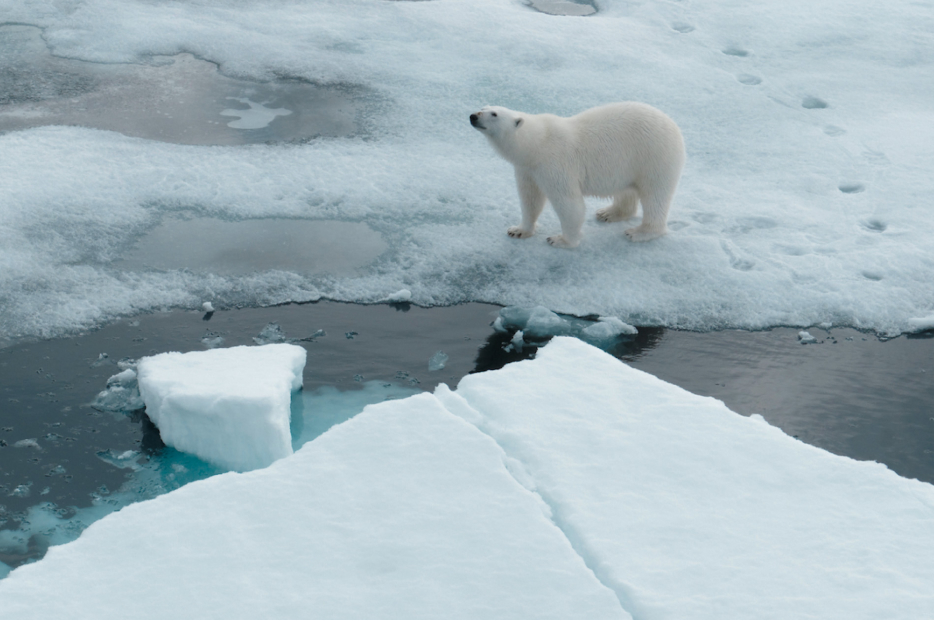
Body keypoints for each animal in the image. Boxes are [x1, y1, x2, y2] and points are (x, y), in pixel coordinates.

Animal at [469, 102, 685, 247]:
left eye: (494, 114)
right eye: (483, 106)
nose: (473, 116)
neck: (537, 143)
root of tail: (675, 127)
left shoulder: (554, 164)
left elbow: (569, 204)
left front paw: (561, 240)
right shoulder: (527, 169)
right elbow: (530, 199)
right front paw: (518, 230)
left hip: (654, 158)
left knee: (655, 196)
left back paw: (639, 232)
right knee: (627, 191)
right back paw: (608, 213)